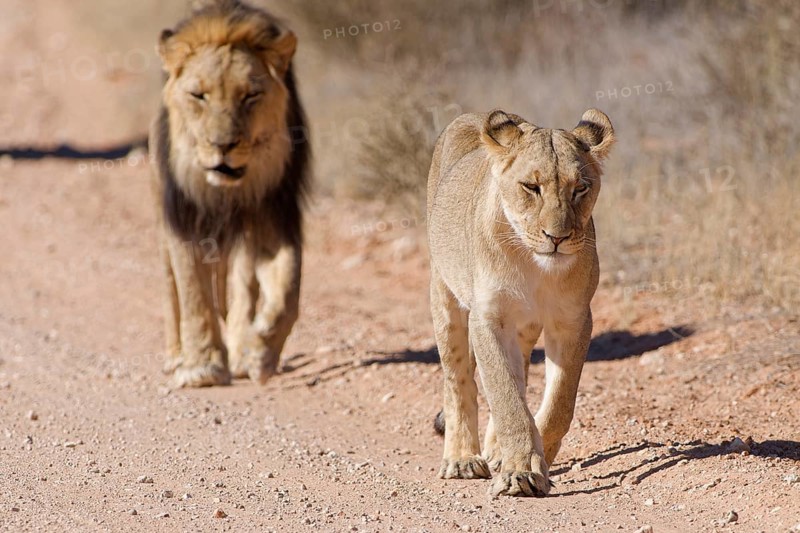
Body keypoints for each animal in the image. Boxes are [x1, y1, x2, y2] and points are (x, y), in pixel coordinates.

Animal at [149, 0, 309, 388]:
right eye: (198, 96)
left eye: (251, 96)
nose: (223, 145)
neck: (228, 192)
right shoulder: (183, 217)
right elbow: (193, 292)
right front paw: (203, 367)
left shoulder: (273, 213)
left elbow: (289, 288)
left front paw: (261, 350)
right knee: (171, 287)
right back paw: (177, 356)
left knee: (242, 286)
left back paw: (241, 348)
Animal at [426, 108, 614, 497]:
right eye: (531, 187)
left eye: (580, 188)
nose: (557, 237)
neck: (534, 264)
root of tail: (472, 115)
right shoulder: (488, 319)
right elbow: (505, 395)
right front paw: (522, 471)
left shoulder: (573, 320)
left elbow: (558, 403)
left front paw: (532, 456)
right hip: (444, 293)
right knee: (457, 378)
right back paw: (463, 459)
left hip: (525, 326)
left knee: (522, 374)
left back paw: (496, 452)